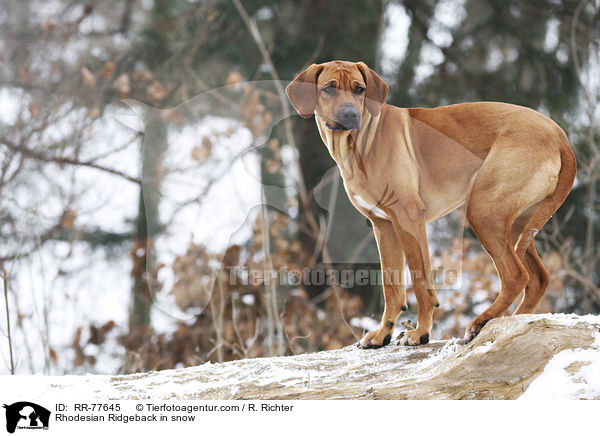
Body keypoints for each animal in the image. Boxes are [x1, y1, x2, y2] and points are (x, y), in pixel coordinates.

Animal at [286, 60, 576, 348]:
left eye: (359, 89)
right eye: (329, 88)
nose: (349, 115)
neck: (360, 142)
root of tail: (560, 136)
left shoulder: (409, 218)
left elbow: (420, 282)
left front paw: (421, 332)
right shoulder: (384, 226)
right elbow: (391, 287)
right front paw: (382, 335)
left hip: (484, 211)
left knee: (516, 276)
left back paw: (481, 321)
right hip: (517, 223)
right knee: (538, 278)